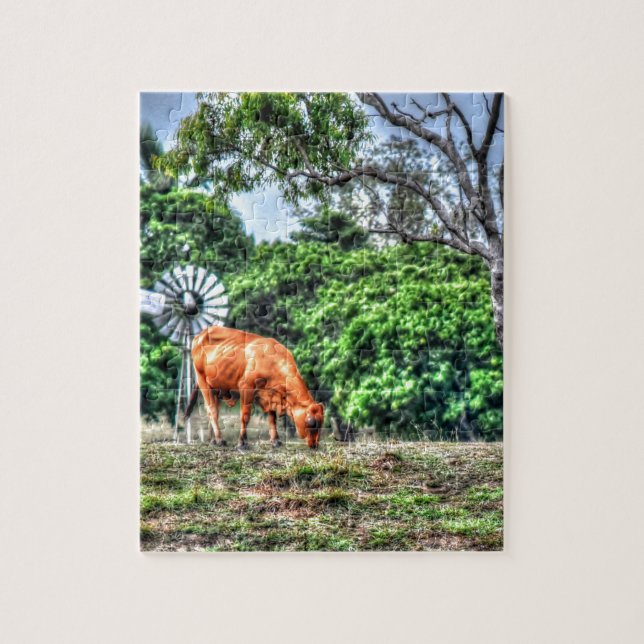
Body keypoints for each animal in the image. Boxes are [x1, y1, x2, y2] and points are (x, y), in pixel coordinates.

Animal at [185, 326, 324, 449]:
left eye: (321, 423)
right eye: (312, 423)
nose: (314, 445)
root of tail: (200, 335)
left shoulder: (270, 393)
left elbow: (272, 418)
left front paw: (275, 441)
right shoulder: (246, 387)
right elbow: (245, 417)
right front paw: (242, 442)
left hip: (217, 387)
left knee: (215, 409)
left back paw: (213, 440)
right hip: (202, 381)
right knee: (212, 410)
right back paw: (219, 439)